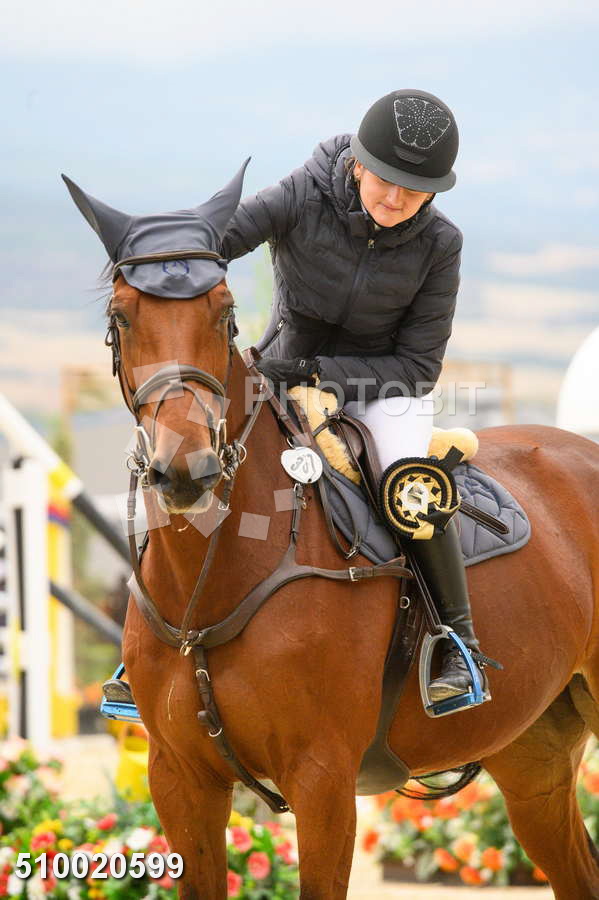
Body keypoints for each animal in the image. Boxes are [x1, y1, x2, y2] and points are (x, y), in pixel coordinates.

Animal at [66, 170, 599, 899]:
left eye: (224, 314)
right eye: (122, 317)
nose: (187, 471)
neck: (215, 577)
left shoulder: (322, 782)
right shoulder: (180, 780)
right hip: (531, 753)